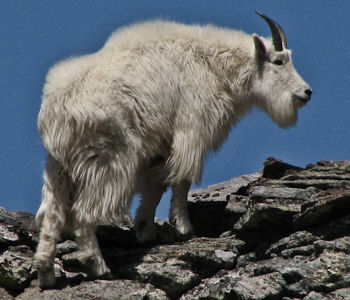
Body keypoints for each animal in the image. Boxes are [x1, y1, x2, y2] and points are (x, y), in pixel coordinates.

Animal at [34, 12, 312, 288]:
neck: (214, 65)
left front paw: (145, 230)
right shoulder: (192, 129)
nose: (306, 92)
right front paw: (184, 228)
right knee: (83, 213)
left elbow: (155, 186)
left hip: (58, 166)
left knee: (52, 214)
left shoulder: (160, 145)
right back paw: (98, 266)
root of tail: (57, 110)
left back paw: (46, 273)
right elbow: (182, 179)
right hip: (109, 160)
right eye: (278, 61)